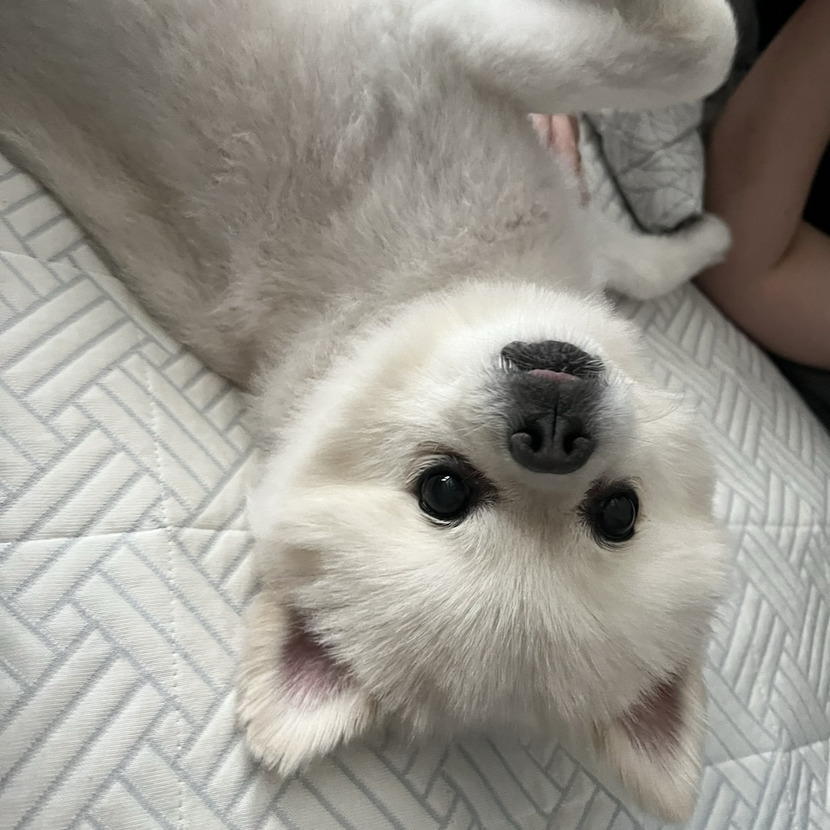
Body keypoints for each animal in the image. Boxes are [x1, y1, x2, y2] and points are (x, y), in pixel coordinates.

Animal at [0, 0, 737, 820]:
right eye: (444, 491)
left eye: (616, 512)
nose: (550, 434)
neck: (418, 288)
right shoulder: (447, 50)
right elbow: (700, 50)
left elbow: (646, 222)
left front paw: (701, 237)